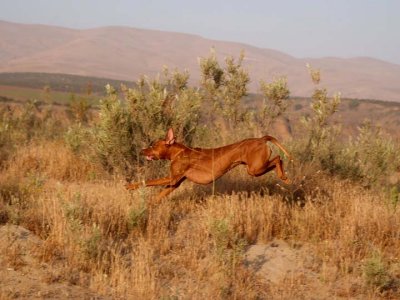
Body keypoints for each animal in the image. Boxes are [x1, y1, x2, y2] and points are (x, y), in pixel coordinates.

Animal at [126, 127, 292, 200]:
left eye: (153, 146)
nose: (141, 151)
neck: (178, 153)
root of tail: (261, 139)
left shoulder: (171, 179)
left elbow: (148, 181)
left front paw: (130, 186)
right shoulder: (174, 183)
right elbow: (158, 196)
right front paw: (149, 206)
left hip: (255, 169)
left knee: (278, 158)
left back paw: (284, 176)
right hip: (255, 169)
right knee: (278, 159)